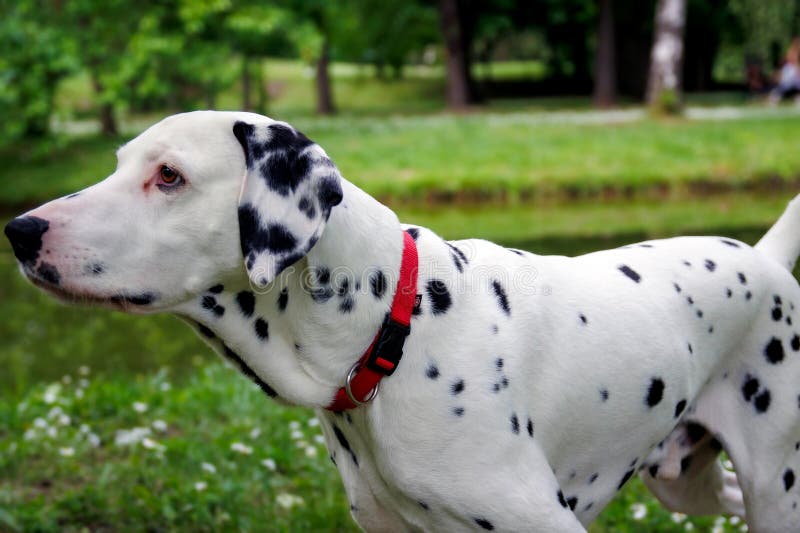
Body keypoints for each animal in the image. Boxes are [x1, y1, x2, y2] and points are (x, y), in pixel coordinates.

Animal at [4, 110, 800, 528]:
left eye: (168, 175)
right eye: (118, 164)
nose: (20, 230)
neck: (395, 330)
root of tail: (761, 257)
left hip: (773, 481)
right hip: (689, 479)